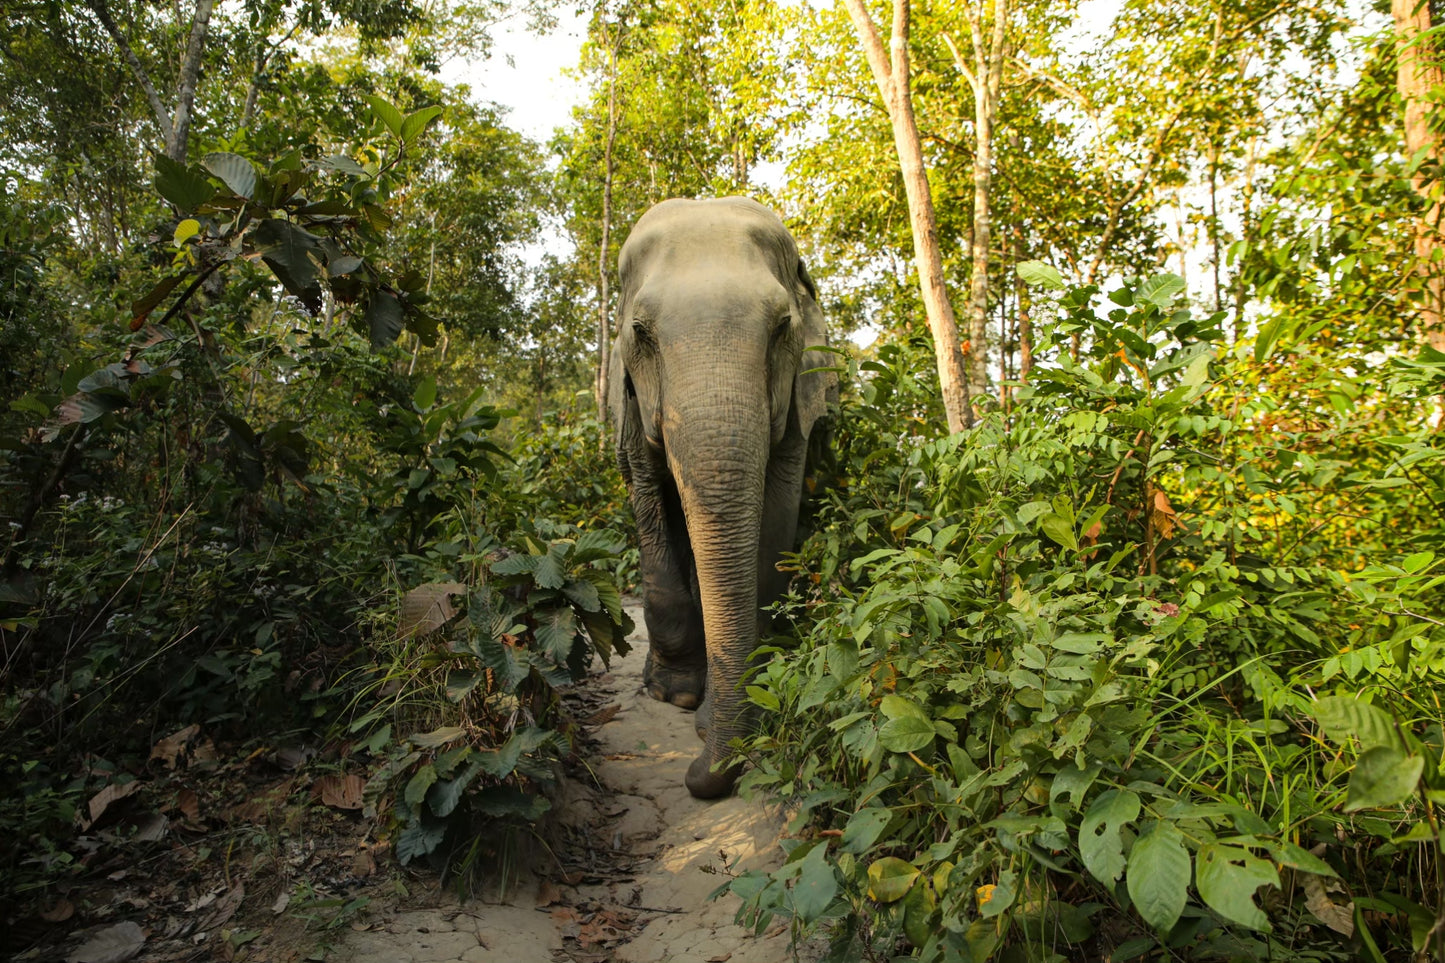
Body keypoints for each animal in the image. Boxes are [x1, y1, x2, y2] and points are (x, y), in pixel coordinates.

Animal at [609, 193, 838, 792]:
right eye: (640, 332)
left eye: (783, 327)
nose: (696, 773)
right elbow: (650, 500)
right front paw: (677, 696)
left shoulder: (799, 399)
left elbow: (775, 520)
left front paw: (721, 715)